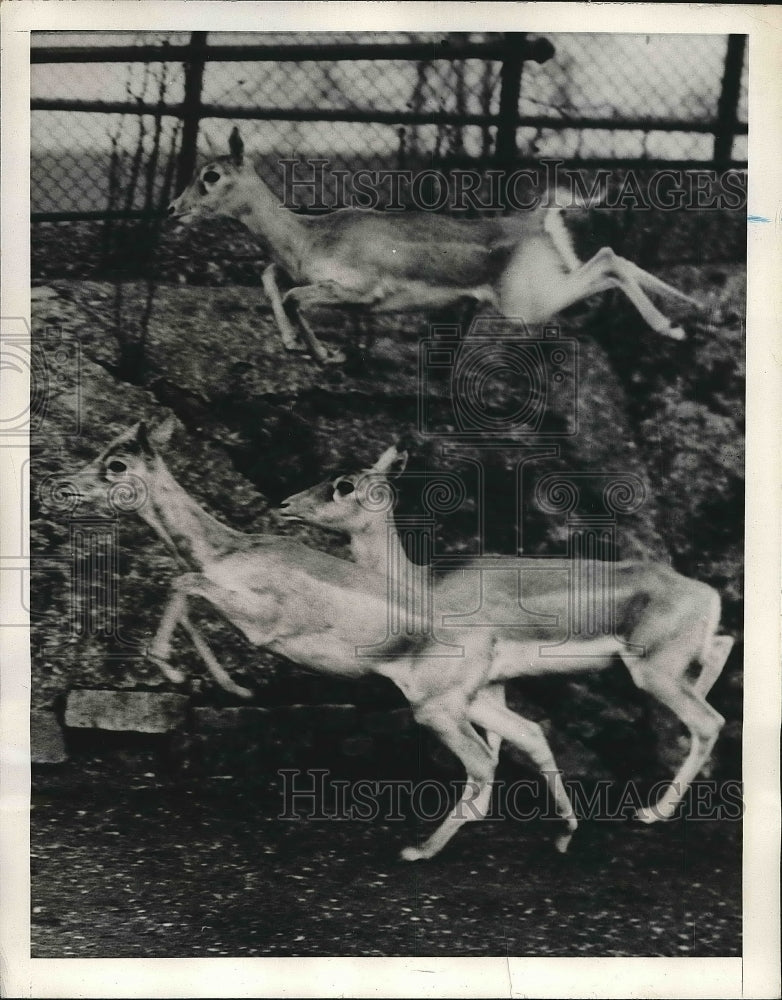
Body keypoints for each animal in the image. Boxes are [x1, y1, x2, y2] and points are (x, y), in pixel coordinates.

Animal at [168, 128, 700, 364]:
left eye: (210, 175)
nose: (173, 208)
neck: (307, 235)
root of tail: (535, 219)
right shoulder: (296, 271)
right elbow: (270, 276)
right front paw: (292, 342)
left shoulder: (358, 291)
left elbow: (296, 296)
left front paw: (327, 355)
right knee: (614, 257)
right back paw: (691, 310)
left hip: (527, 307)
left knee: (610, 260)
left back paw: (673, 327)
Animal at [280, 442, 736, 824]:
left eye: (344, 484)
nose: (285, 504)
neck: (425, 583)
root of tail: (705, 592)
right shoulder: (493, 679)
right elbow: (497, 737)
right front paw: (479, 809)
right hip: (680, 661)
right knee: (721, 648)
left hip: (654, 672)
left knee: (709, 721)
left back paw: (653, 812)